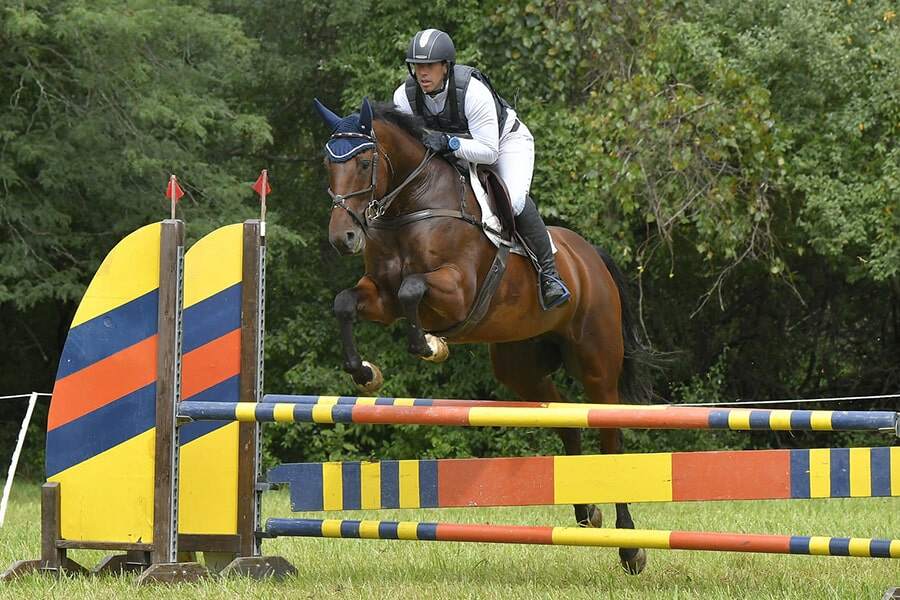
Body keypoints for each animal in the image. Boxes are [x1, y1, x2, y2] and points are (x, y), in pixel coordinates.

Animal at [312, 96, 652, 576]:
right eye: (328, 161)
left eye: (363, 162)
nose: (343, 237)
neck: (410, 208)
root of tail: (590, 257)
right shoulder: (380, 296)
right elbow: (346, 302)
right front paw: (365, 373)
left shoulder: (454, 291)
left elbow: (412, 288)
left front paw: (430, 346)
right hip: (520, 366)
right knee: (565, 419)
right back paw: (588, 514)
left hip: (597, 363)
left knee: (610, 437)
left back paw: (630, 546)